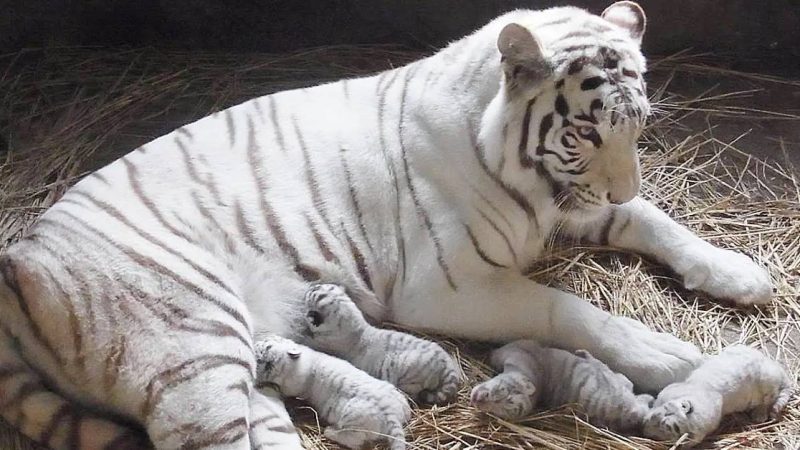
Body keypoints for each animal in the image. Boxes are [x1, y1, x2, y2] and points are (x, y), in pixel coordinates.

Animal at [253, 334, 410, 450]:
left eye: (267, 346)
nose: (255, 346)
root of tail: (391, 415)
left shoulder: (293, 386)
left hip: (353, 420)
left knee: (354, 440)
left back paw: (330, 431)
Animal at [472, 340, 652, 430]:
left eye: (505, 406)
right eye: (501, 390)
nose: (478, 400)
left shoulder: (517, 349)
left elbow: (496, 353)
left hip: (613, 382)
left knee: (617, 375)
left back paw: (584, 354)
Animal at [640, 344, 792, 446]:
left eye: (674, 428)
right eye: (668, 412)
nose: (663, 421)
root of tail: (779, 370)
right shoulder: (667, 393)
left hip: (768, 383)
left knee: (768, 401)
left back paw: (759, 415)